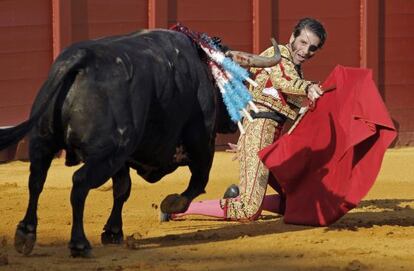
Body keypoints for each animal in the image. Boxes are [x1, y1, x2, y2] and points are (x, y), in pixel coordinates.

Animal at [0, 29, 234, 258]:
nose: (234, 122)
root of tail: (82, 57)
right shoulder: (202, 141)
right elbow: (199, 180)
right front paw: (173, 203)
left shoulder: (123, 159)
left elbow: (122, 189)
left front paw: (113, 232)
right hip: (107, 154)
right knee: (79, 183)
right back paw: (79, 243)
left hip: (43, 142)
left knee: (36, 180)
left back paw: (26, 233)